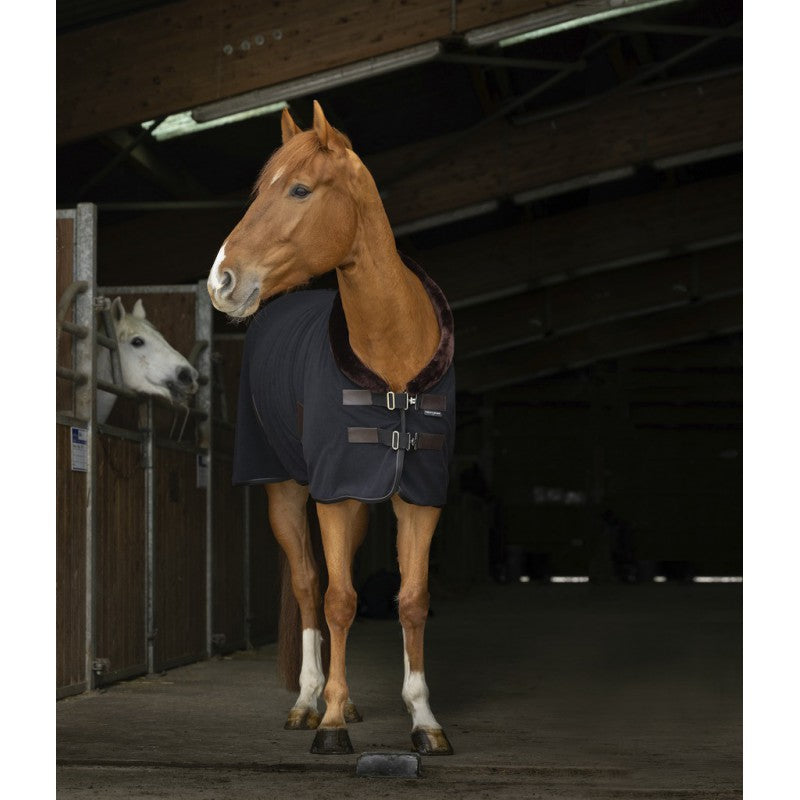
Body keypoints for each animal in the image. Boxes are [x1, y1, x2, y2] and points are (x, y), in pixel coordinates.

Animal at [207, 102, 455, 757]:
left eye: (298, 189)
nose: (221, 282)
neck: (392, 359)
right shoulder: (333, 494)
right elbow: (338, 600)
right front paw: (333, 720)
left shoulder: (418, 497)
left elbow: (412, 600)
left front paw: (424, 719)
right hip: (287, 493)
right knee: (308, 585)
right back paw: (307, 701)